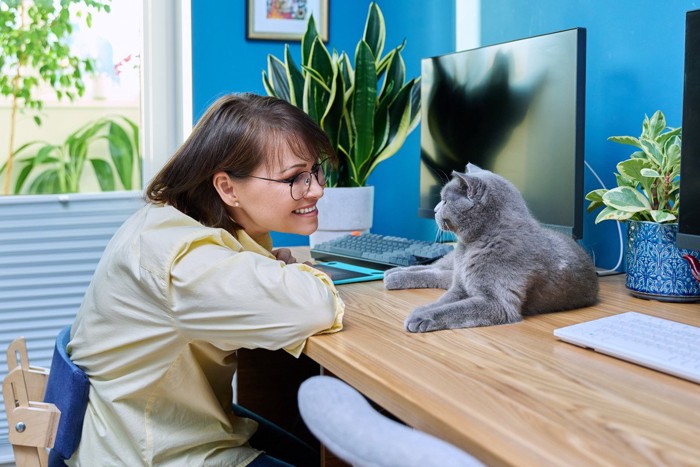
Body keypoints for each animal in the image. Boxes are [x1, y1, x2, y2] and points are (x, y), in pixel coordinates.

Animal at [386, 165, 600, 332]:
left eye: (446, 201)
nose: (436, 209)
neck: (472, 245)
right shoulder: (459, 287)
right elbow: (442, 302)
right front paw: (421, 310)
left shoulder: (497, 303)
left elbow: (454, 309)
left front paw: (420, 316)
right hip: (452, 267)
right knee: (435, 268)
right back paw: (394, 273)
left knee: (437, 273)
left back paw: (393, 275)